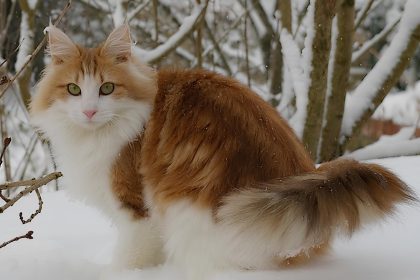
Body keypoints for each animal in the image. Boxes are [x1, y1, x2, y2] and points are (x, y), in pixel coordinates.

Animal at [30, 23, 416, 278]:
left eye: (107, 88)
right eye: (74, 89)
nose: (89, 112)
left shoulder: (136, 210)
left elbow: (129, 259)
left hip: (186, 213)